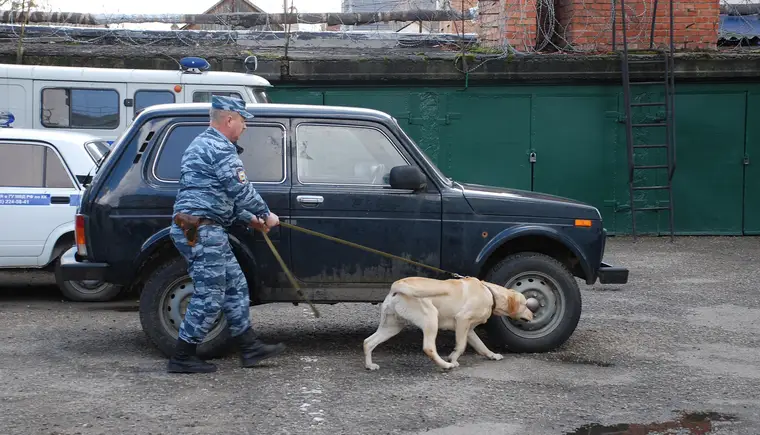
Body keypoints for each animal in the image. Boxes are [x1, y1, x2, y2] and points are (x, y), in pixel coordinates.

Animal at [364, 276, 536, 372]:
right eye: (526, 304)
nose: (533, 314)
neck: (490, 293)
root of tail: (398, 285)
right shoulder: (462, 320)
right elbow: (461, 346)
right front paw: (453, 359)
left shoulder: (469, 330)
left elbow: (481, 346)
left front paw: (492, 355)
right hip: (431, 318)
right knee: (428, 348)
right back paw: (445, 366)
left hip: (392, 326)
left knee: (368, 342)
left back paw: (369, 365)